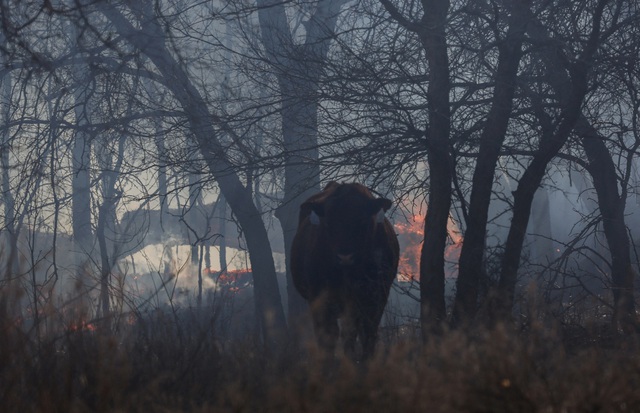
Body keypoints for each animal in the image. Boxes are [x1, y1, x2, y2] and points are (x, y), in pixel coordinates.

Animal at [292, 180, 400, 358]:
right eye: (328, 223)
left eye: (363, 220)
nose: (345, 256)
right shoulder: (320, 299)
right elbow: (328, 337)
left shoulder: (375, 299)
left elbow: (366, 334)